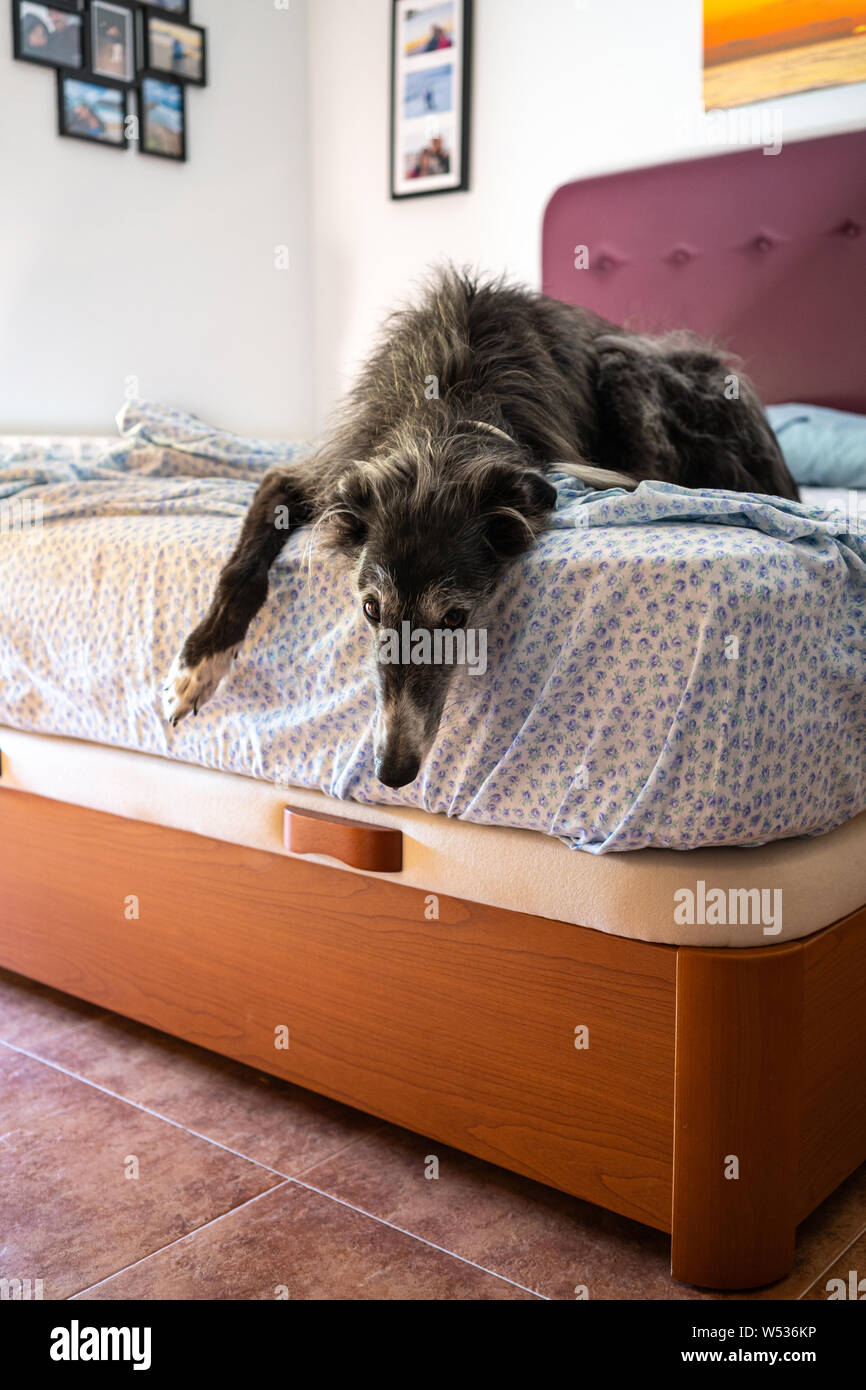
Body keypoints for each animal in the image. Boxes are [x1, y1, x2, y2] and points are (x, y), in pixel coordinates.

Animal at [162, 266, 800, 789]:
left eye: (456, 618)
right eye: (369, 609)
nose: (391, 772)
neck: (444, 418)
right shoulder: (323, 474)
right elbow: (246, 557)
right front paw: (201, 660)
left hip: (630, 366)